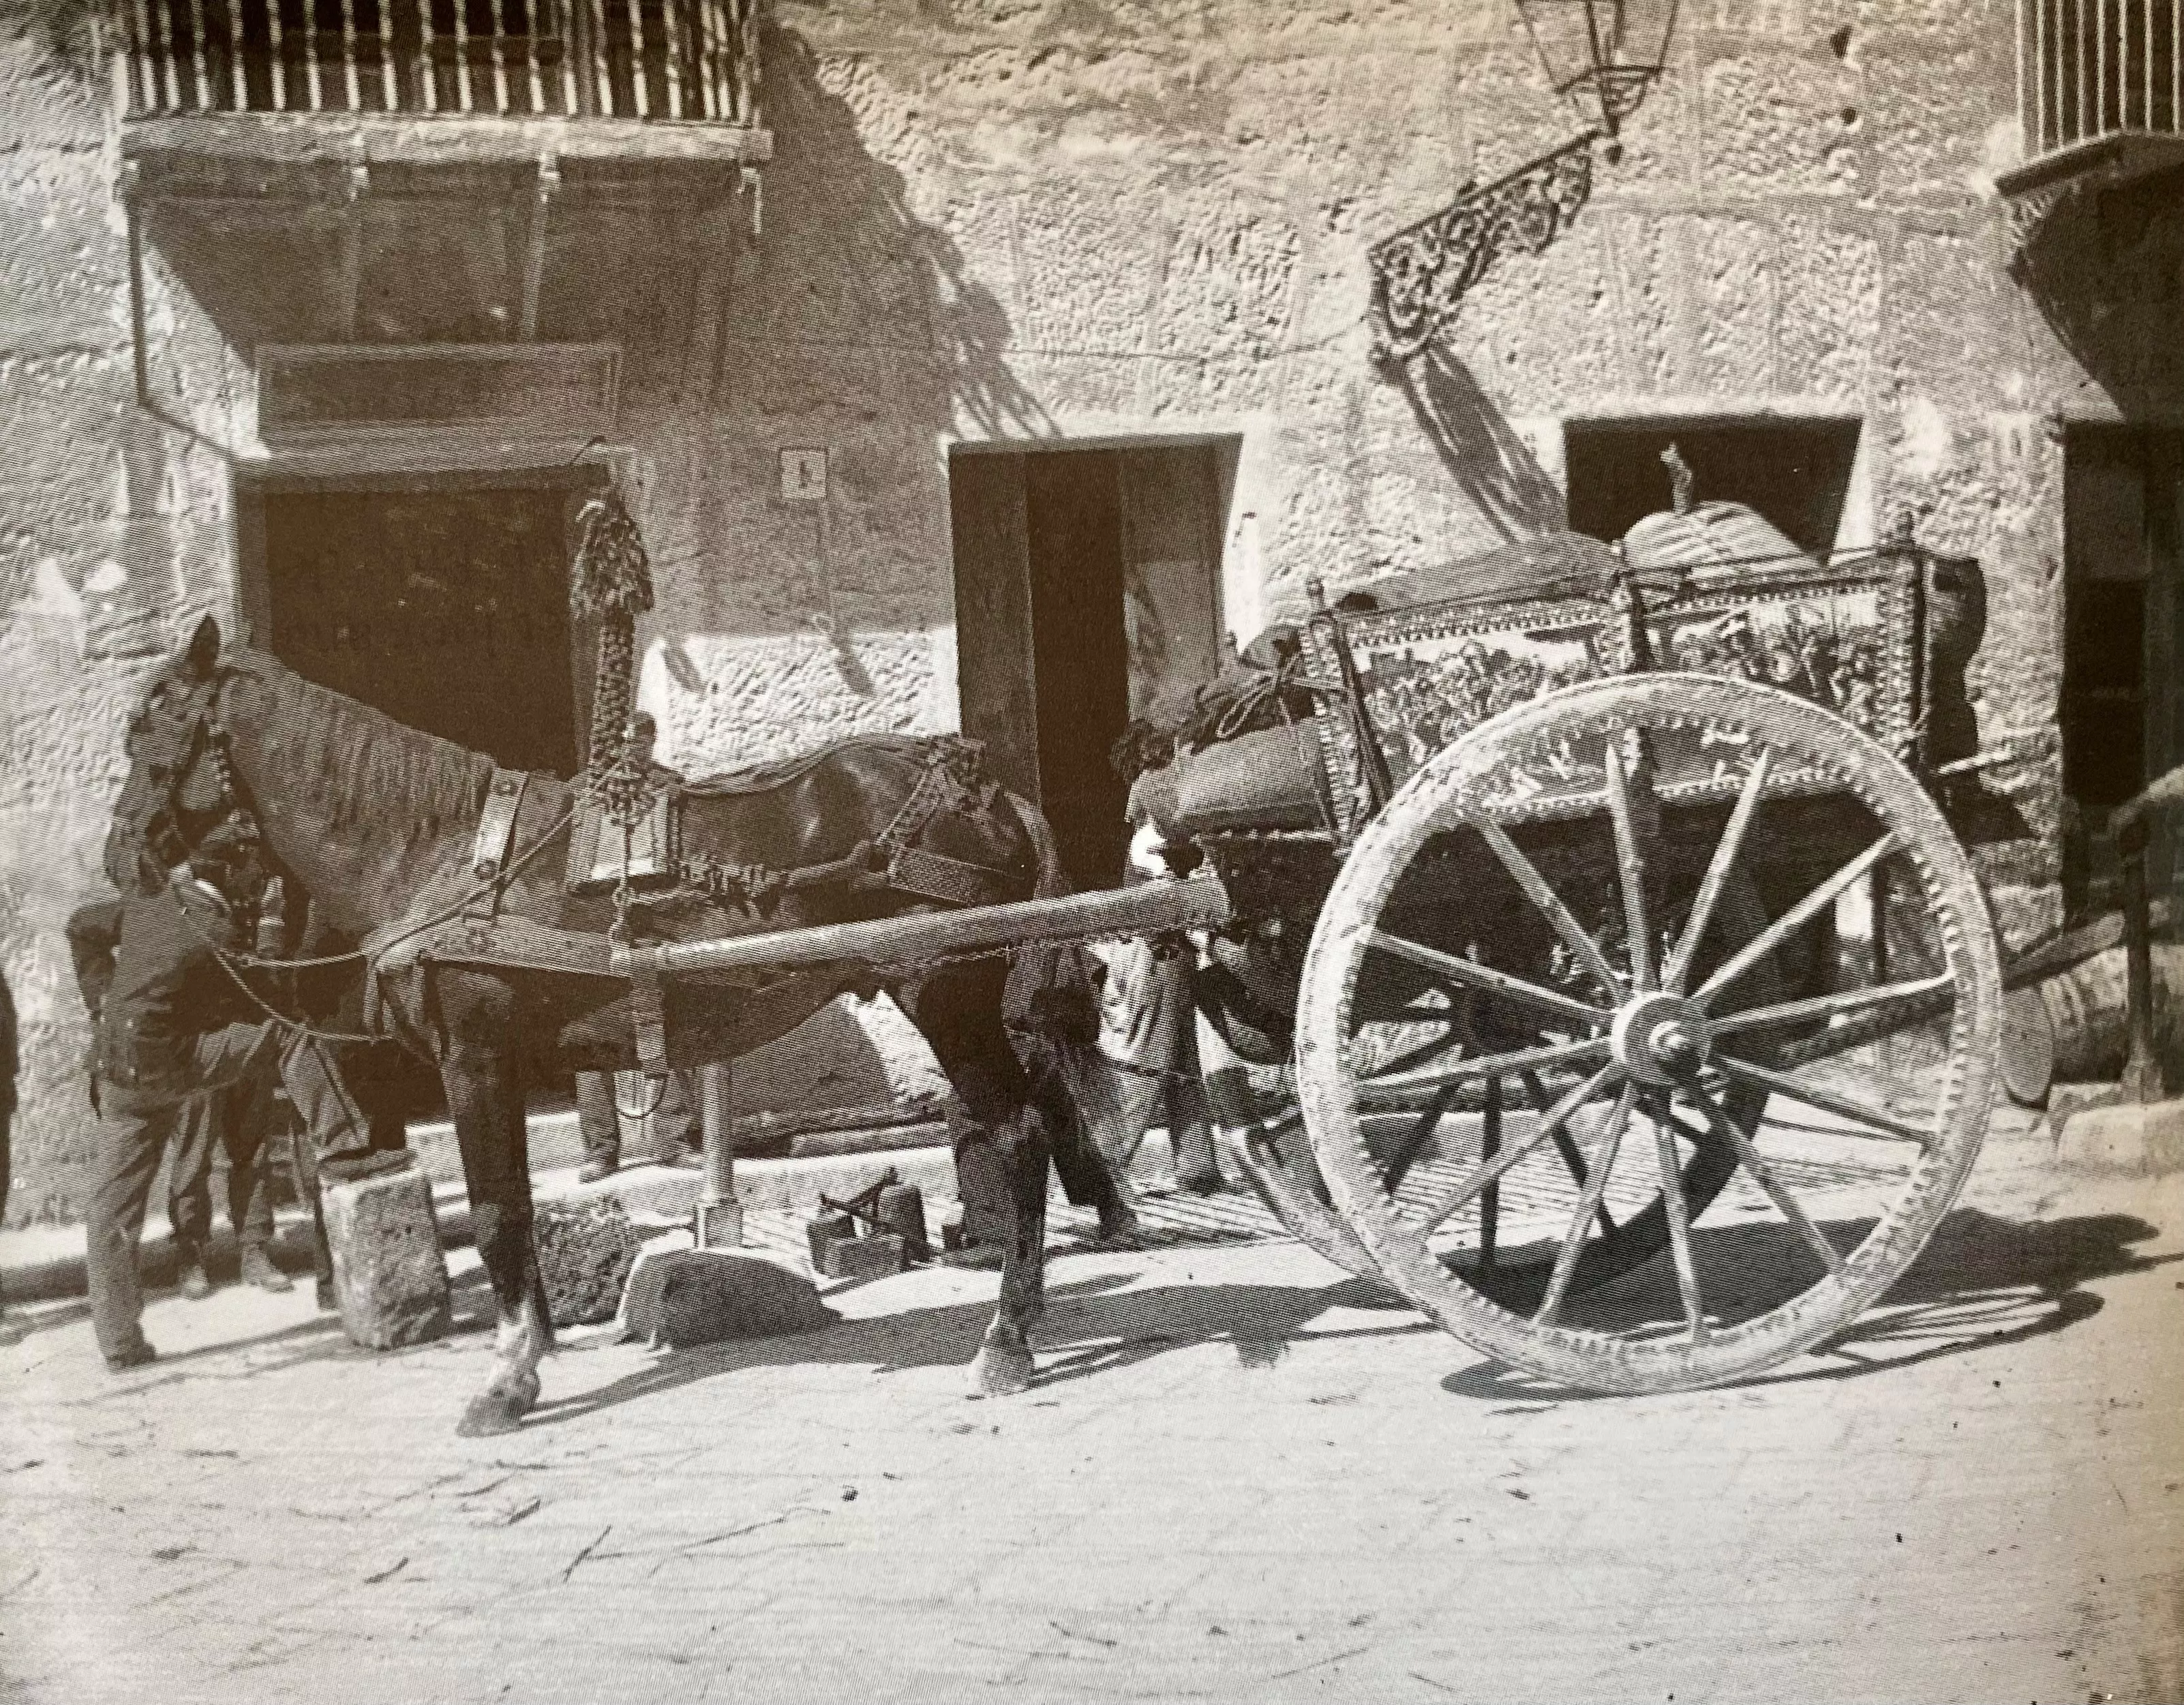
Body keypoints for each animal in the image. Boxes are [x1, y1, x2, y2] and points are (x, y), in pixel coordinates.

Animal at [104, 620, 1136, 1432]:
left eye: (150, 721)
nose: (118, 854)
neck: (443, 851)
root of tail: (986, 792)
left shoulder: (474, 1058)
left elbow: (494, 1212)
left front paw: (506, 1379)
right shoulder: (502, 1065)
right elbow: (518, 1206)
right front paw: (535, 1348)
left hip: (948, 997)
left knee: (1018, 1132)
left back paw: (1007, 1337)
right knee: (1046, 1115)